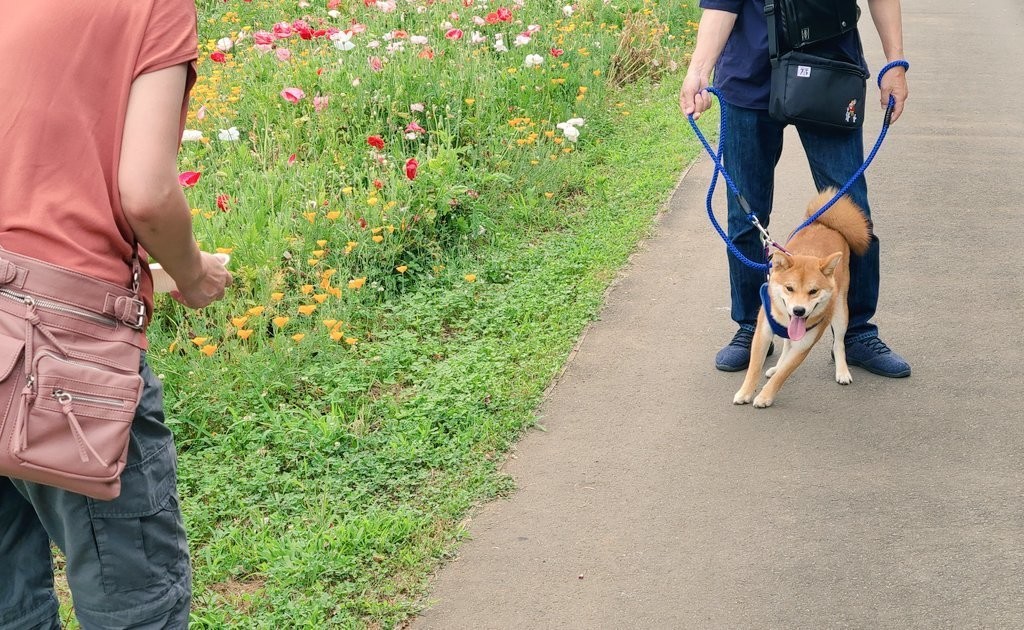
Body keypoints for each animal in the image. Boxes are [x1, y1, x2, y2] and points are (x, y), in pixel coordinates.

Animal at [733, 187, 868, 407]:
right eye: (789, 288)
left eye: (813, 291)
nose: (798, 310)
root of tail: (823, 224)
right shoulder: (763, 332)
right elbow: (754, 368)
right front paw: (745, 392)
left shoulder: (805, 343)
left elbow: (783, 374)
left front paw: (764, 396)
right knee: (787, 344)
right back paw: (775, 367)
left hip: (841, 311)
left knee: (839, 343)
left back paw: (842, 371)